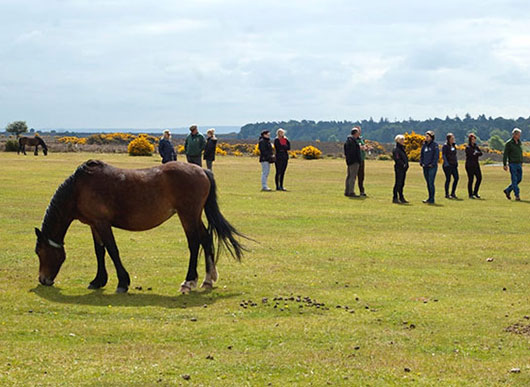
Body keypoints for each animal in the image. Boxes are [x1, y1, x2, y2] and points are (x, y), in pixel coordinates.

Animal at [34, 160, 244, 294]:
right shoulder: (94, 224)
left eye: (39, 252)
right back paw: (208, 280)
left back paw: (188, 281)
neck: (79, 189)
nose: (43, 280)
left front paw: (122, 282)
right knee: (206, 239)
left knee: (194, 243)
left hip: (188, 215)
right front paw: (98, 280)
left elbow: (112, 250)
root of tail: (202, 171)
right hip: (194, 215)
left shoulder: (102, 223)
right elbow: (99, 251)